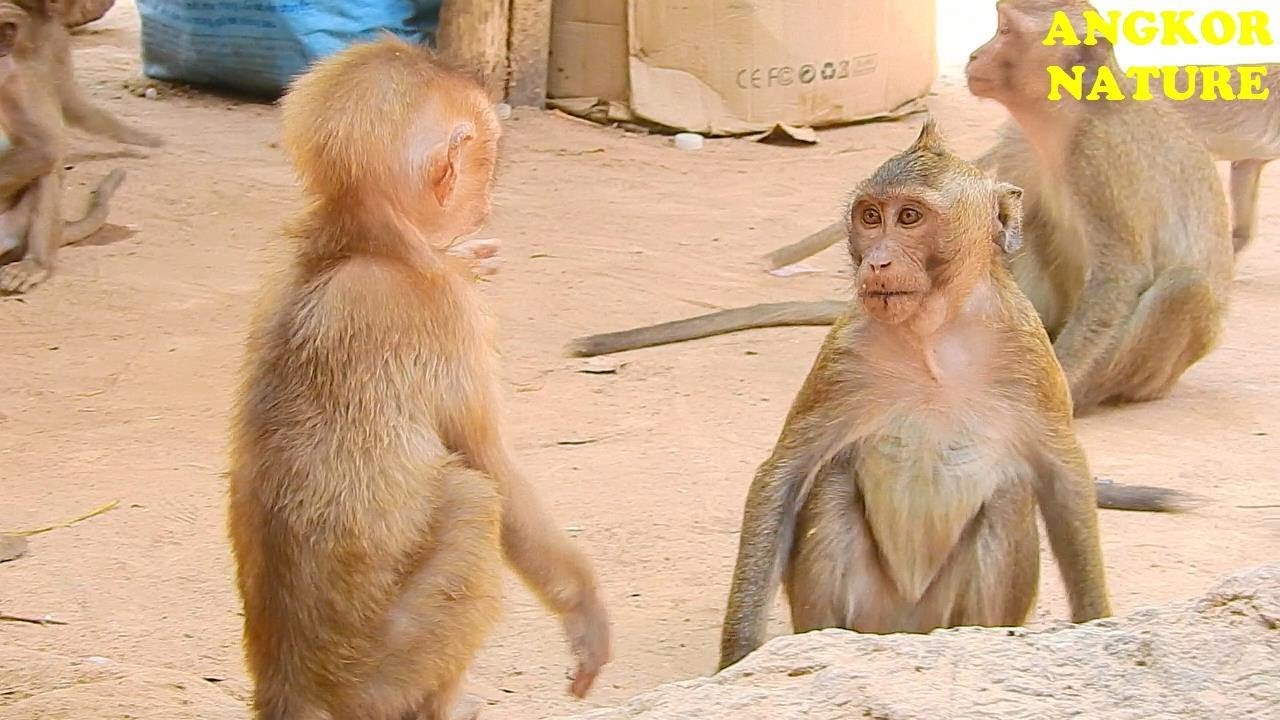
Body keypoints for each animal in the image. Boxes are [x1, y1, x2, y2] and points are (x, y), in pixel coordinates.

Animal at [226, 36, 610, 720]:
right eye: (485, 162)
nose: (484, 204)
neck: (359, 242)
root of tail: (291, 686)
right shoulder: (449, 314)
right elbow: (491, 466)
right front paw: (584, 610)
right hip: (379, 671)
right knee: (472, 499)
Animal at [718, 118, 1112, 671]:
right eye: (870, 217)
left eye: (909, 217)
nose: (878, 262)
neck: (934, 335)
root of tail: (905, 636)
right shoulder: (843, 352)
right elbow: (785, 474)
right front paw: (736, 661)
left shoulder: (1032, 352)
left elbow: (1064, 478)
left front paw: (1098, 623)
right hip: (875, 615)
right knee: (832, 481)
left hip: (938, 617)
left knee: (1009, 493)